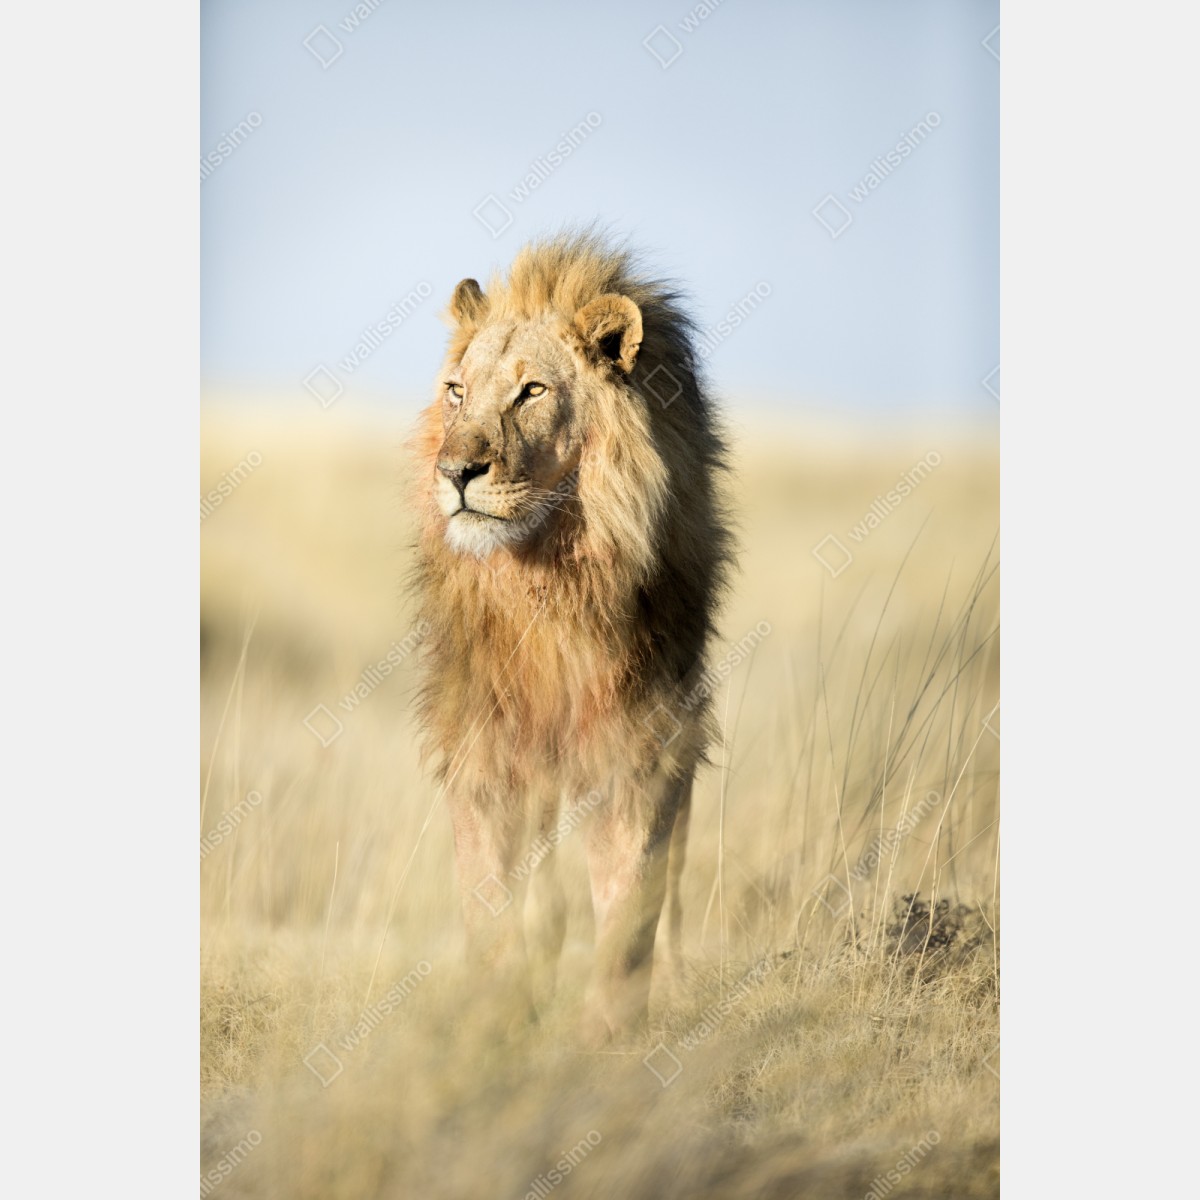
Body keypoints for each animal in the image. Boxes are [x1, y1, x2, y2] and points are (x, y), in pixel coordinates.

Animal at [411, 232, 733, 1043]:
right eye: (457, 390)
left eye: (531, 392)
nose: (456, 471)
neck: (549, 579)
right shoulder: (484, 745)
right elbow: (492, 899)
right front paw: (495, 1022)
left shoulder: (646, 740)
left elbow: (631, 902)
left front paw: (608, 1035)